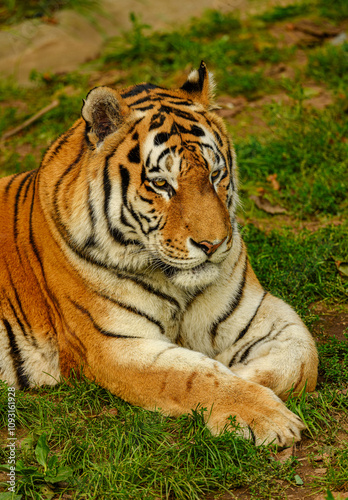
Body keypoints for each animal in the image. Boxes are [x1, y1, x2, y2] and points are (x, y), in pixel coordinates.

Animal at [0, 62, 318, 446]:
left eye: (216, 174)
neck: (177, 285)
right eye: (162, 184)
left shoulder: (256, 312)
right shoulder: (114, 343)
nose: (212, 245)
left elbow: (303, 355)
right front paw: (269, 416)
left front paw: (245, 375)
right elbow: (194, 376)